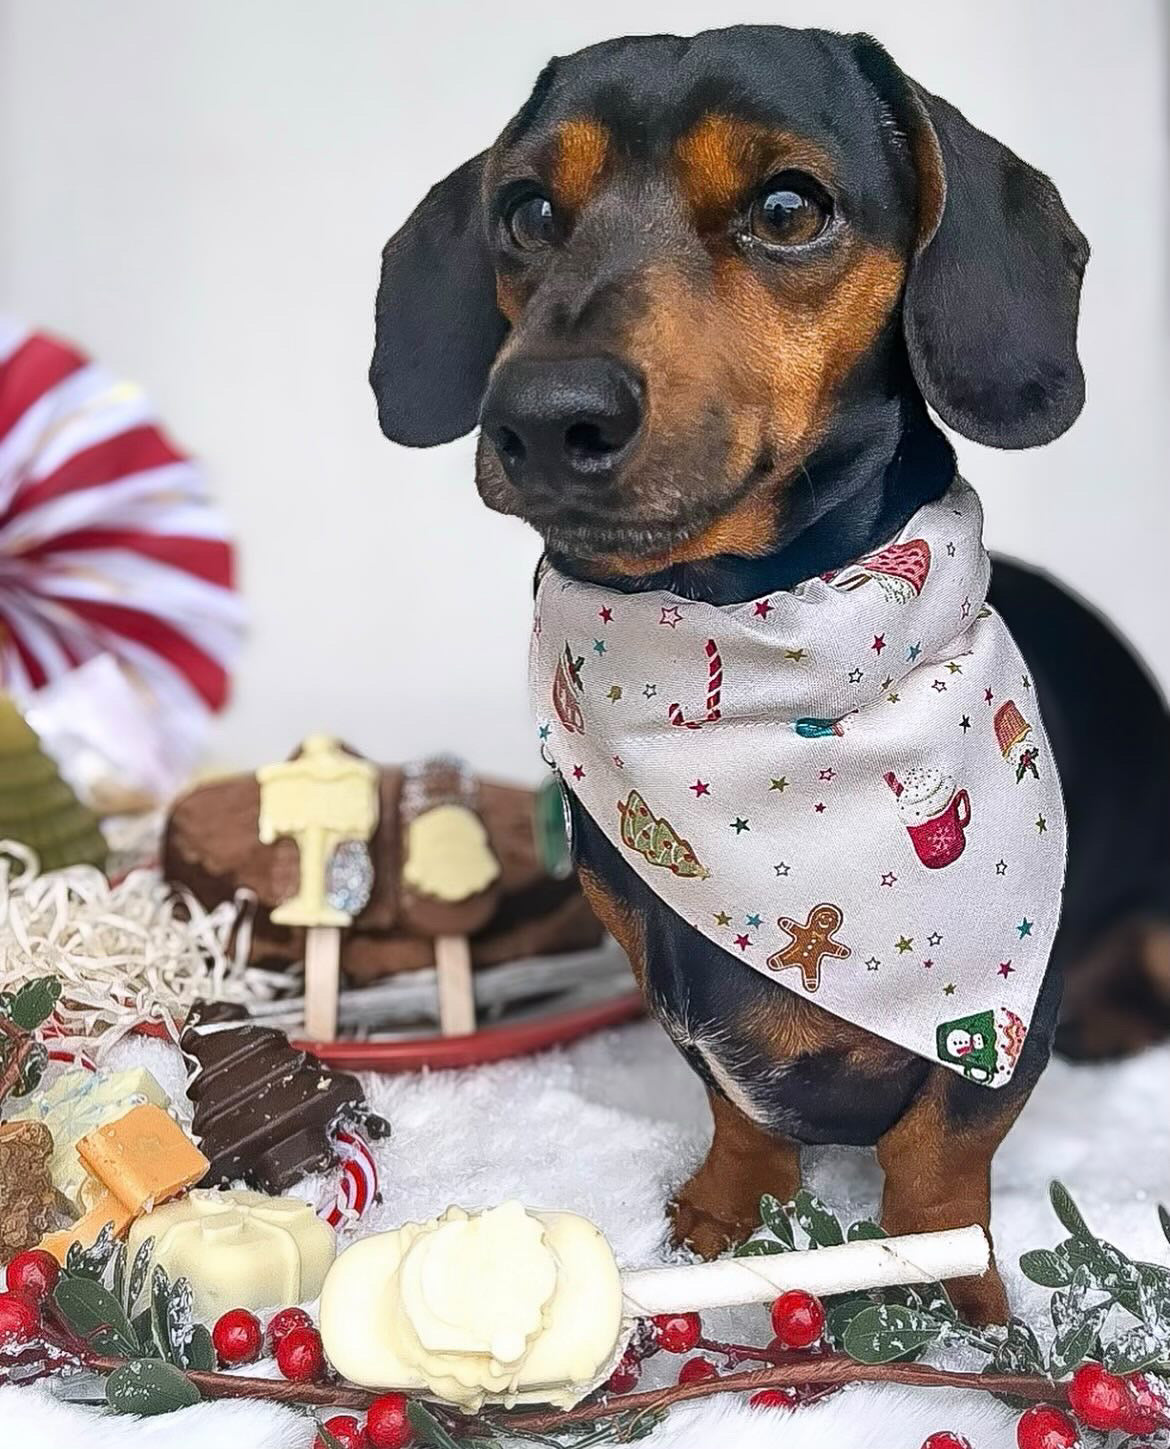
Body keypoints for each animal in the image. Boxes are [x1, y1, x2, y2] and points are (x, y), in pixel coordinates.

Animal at [368, 25, 1170, 1327]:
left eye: (790, 207)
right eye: (526, 210)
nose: (541, 416)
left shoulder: (1000, 1021)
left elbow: (938, 1155)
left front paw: (947, 1289)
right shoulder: (667, 979)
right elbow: (733, 1106)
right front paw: (728, 1210)